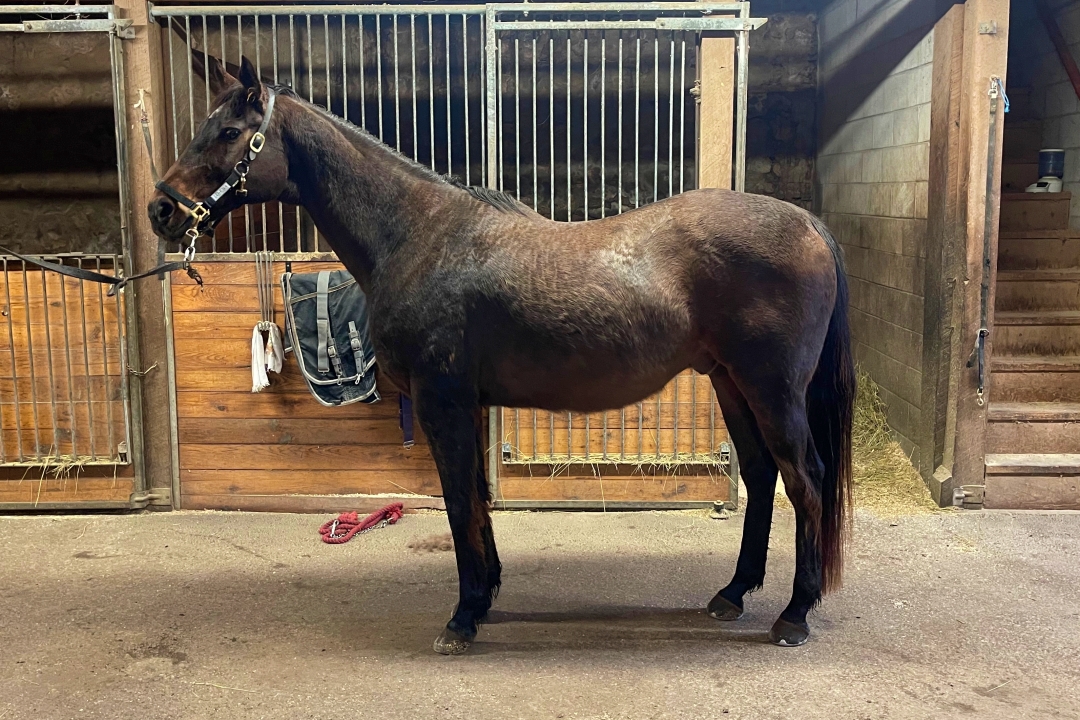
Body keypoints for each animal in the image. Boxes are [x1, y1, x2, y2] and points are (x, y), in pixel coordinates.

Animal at [148, 53, 855, 655]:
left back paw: (794, 615)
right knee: (762, 474)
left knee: (805, 478)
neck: (421, 236)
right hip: (730, 382)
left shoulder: (443, 400)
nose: (160, 209)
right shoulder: (467, 405)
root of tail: (809, 224)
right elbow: (479, 500)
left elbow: (461, 501)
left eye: (229, 131)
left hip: (772, 388)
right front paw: (484, 598)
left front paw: (462, 620)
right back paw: (732, 594)